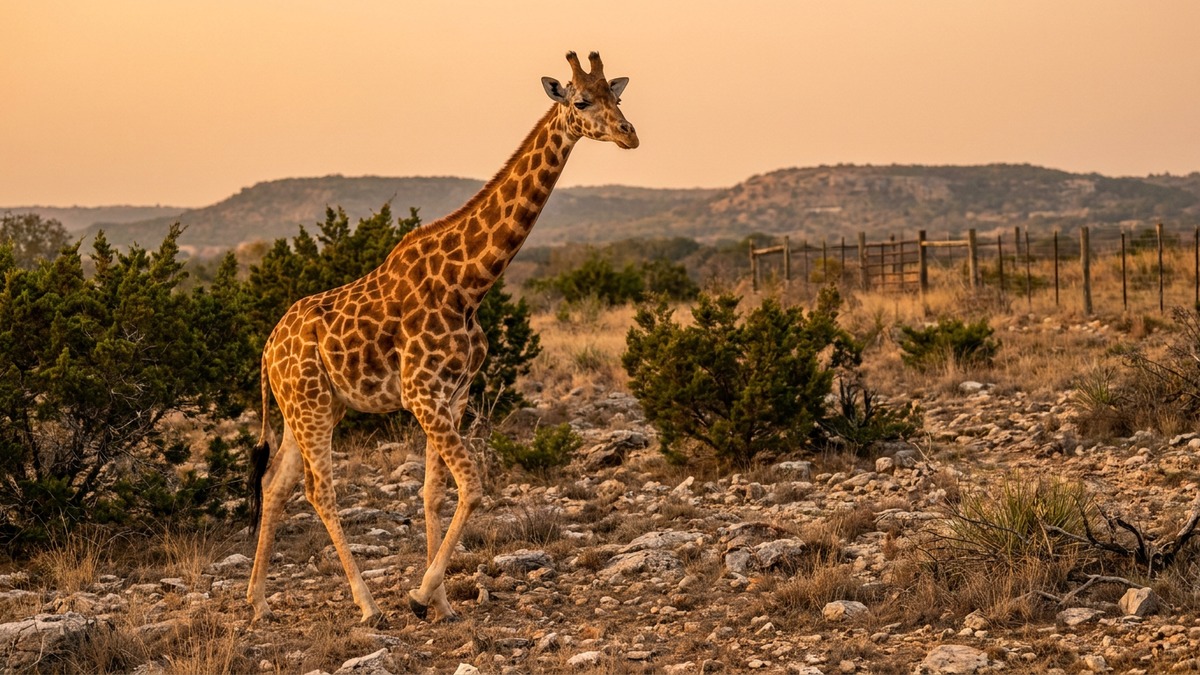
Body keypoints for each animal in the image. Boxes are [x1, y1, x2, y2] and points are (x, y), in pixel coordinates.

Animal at [245, 51, 638, 626]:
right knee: (320, 490)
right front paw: (419, 593)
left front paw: (444, 603)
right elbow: (472, 485)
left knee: (276, 484)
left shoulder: (451, 395)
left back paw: (256, 600)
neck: (469, 284)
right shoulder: (421, 393)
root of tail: (268, 348)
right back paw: (367, 605)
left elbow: (433, 492)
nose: (631, 134)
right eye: (583, 100)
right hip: (311, 406)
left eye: (619, 94)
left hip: (311, 408)